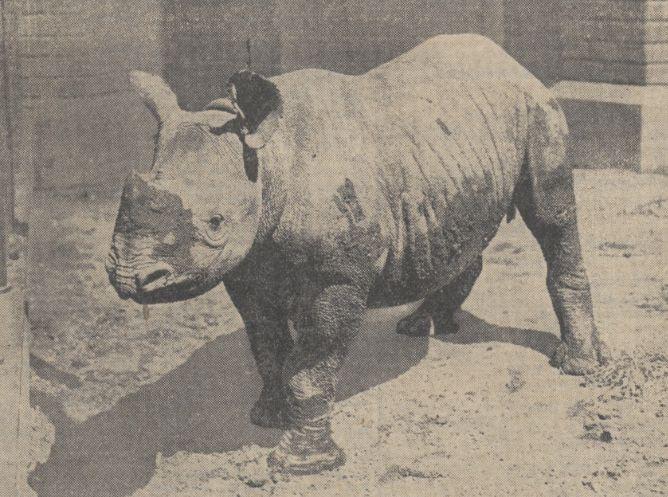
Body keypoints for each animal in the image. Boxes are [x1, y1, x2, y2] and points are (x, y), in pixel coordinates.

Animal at [106, 34, 607, 474]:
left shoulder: (337, 277)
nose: (131, 277)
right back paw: (421, 326)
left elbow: (310, 367)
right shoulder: (248, 267)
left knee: (552, 216)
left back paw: (579, 365)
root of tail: (510, 61)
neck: (270, 162)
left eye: (215, 223)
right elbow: (266, 346)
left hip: (538, 110)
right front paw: (267, 417)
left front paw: (301, 464)